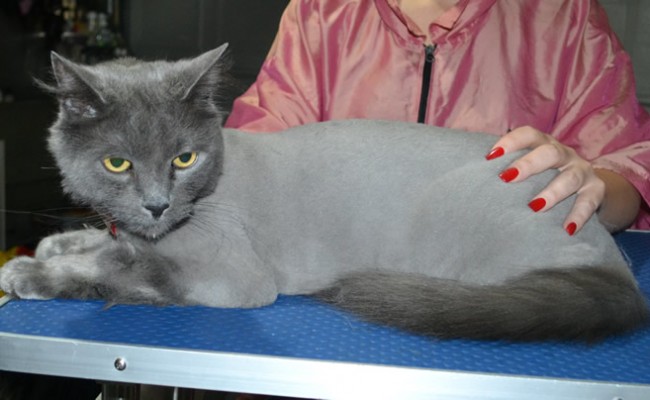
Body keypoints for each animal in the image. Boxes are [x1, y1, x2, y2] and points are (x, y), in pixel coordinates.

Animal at [1, 45, 648, 342]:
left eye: (184, 158)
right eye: (118, 163)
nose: (157, 203)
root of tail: (612, 265)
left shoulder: (232, 276)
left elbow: (128, 267)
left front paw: (32, 272)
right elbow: (104, 239)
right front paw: (58, 245)